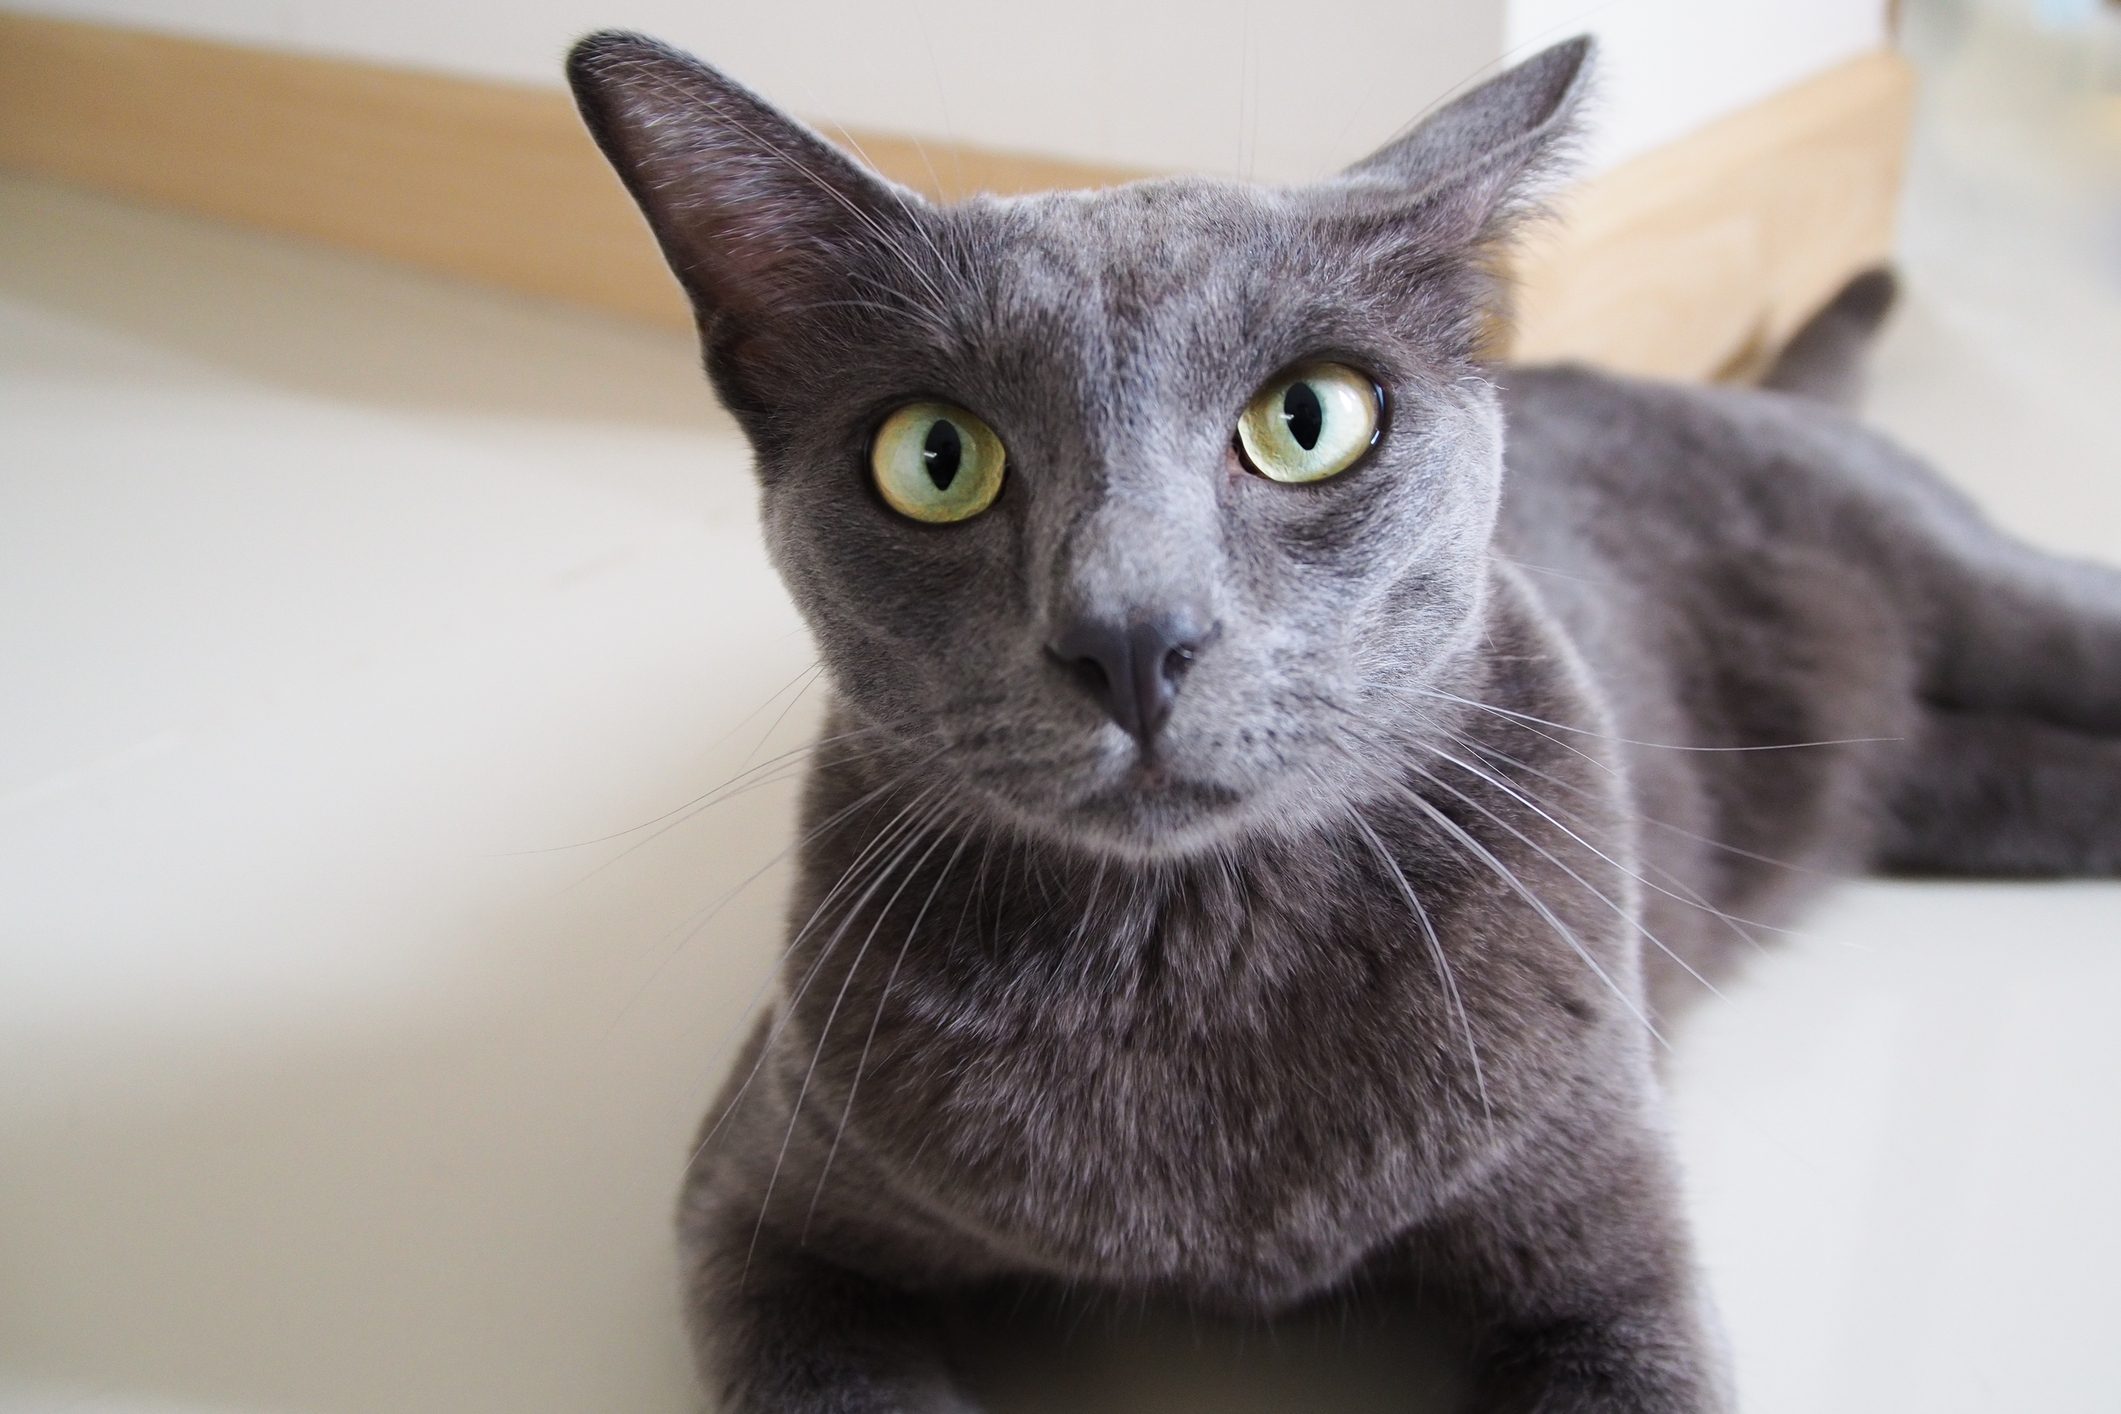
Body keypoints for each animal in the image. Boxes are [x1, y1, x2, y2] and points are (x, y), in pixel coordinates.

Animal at [564, 30, 2121, 1414]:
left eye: (1309, 419)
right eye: (935, 457)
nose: (1132, 634)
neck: (1184, 954)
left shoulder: (1613, 1255)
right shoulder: (759, 1214)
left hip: (1960, 572)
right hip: (1919, 775)